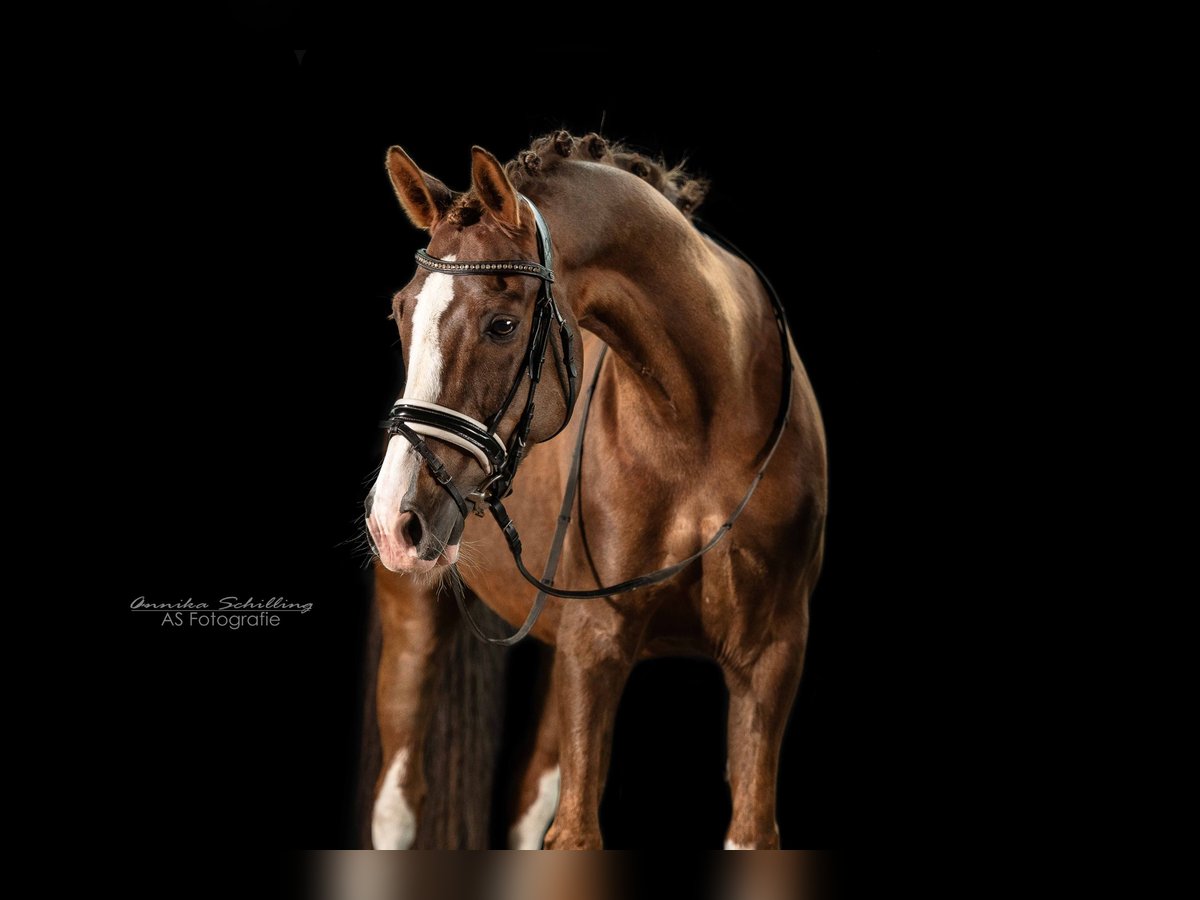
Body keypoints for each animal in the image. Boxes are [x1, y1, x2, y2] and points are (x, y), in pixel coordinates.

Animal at [362, 130, 825, 849]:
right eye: (400, 311)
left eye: (502, 324)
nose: (392, 521)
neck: (703, 427)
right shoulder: (596, 643)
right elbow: (577, 833)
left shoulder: (770, 657)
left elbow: (749, 831)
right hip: (413, 610)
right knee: (398, 802)